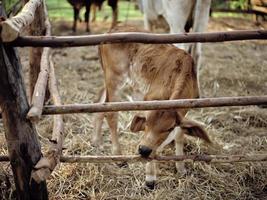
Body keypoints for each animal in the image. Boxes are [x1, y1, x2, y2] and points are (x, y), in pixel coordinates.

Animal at [94, 25, 211, 189]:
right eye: (146, 123)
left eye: (169, 127)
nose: (143, 150)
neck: (183, 72)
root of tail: (111, 31)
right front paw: (150, 178)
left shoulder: (184, 111)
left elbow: (179, 134)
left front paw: (181, 168)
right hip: (114, 79)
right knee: (111, 113)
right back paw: (118, 156)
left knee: (100, 103)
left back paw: (96, 141)